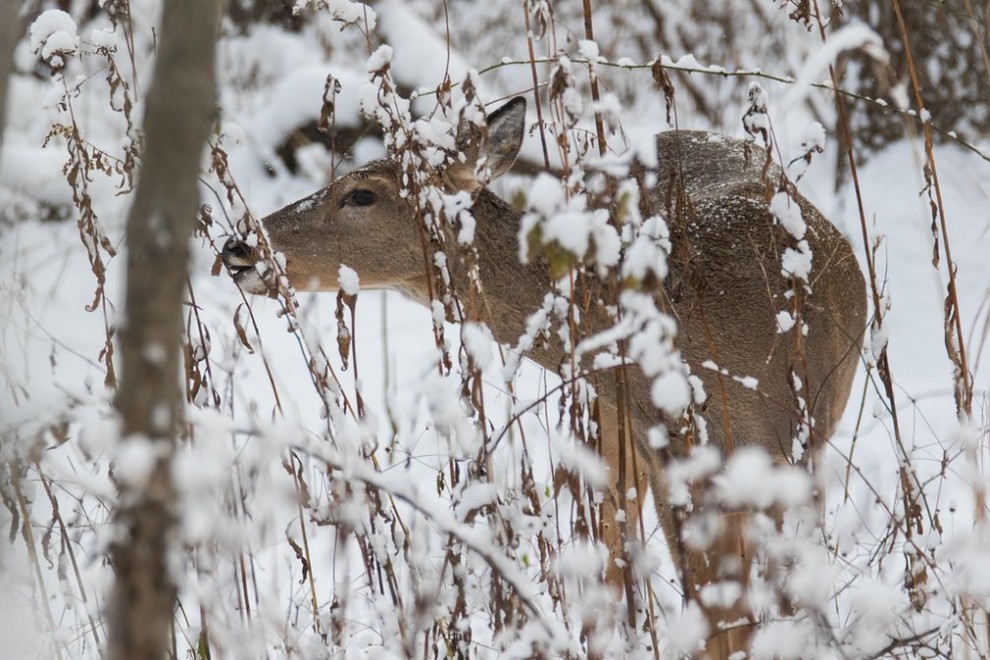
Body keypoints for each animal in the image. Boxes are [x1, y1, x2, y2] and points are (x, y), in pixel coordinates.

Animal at [227, 95, 868, 656]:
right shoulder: (675, 461)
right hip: (614, 432)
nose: (239, 246)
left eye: (361, 193)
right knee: (611, 562)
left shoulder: (789, 452)